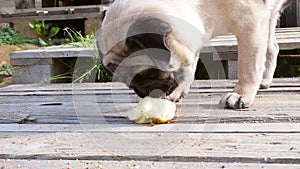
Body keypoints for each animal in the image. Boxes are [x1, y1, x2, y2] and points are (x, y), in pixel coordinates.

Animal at [97, 0, 292, 108]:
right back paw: (265, 81)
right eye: (129, 84)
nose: (143, 92)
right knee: (272, 48)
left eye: (150, 73)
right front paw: (178, 91)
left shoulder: (250, 22)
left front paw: (241, 94)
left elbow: (248, 66)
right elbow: (187, 70)